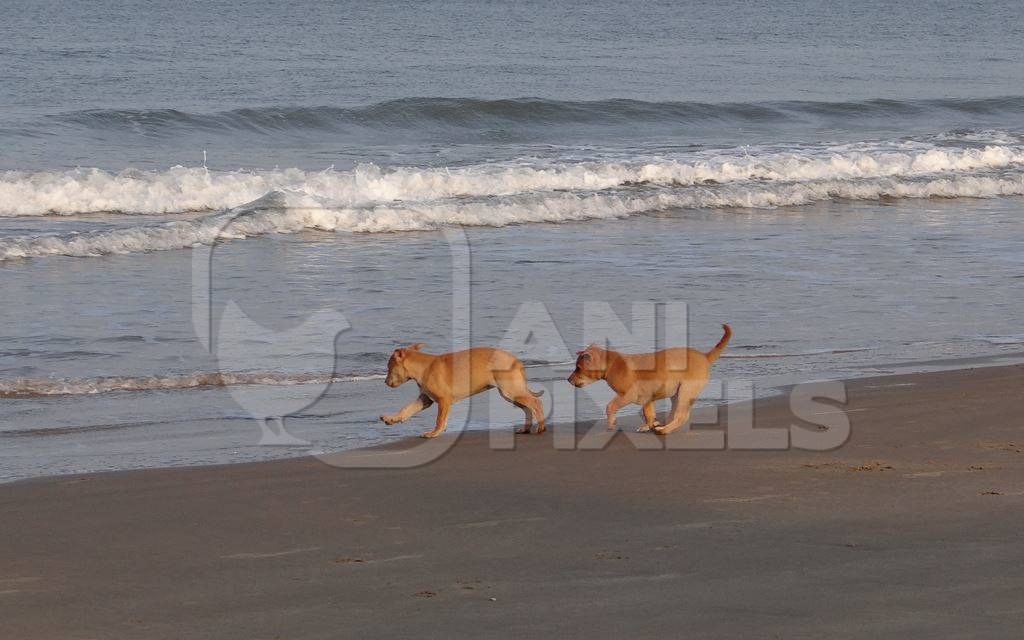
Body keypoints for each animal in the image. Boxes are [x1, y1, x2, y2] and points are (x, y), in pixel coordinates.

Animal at [380, 344, 548, 438]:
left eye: (389, 367)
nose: (385, 382)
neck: (423, 367)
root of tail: (516, 360)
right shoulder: (425, 400)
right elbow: (407, 409)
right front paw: (392, 419)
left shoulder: (444, 400)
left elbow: (439, 419)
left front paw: (435, 432)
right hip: (510, 393)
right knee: (528, 408)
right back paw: (526, 428)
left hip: (511, 390)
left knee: (536, 402)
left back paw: (541, 427)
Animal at [569, 323, 729, 434]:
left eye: (578, 368)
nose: (568, 380)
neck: (611, 364)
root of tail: (705, 357)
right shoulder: (647, 398)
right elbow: (649, 413)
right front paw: (649, 425)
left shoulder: (627, 395)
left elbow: (610, 407)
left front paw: (611, 423)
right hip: (676, 393)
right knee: (674, 414)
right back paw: (662, 425)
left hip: (686, 391)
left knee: (682, 416)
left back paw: (664, 430)